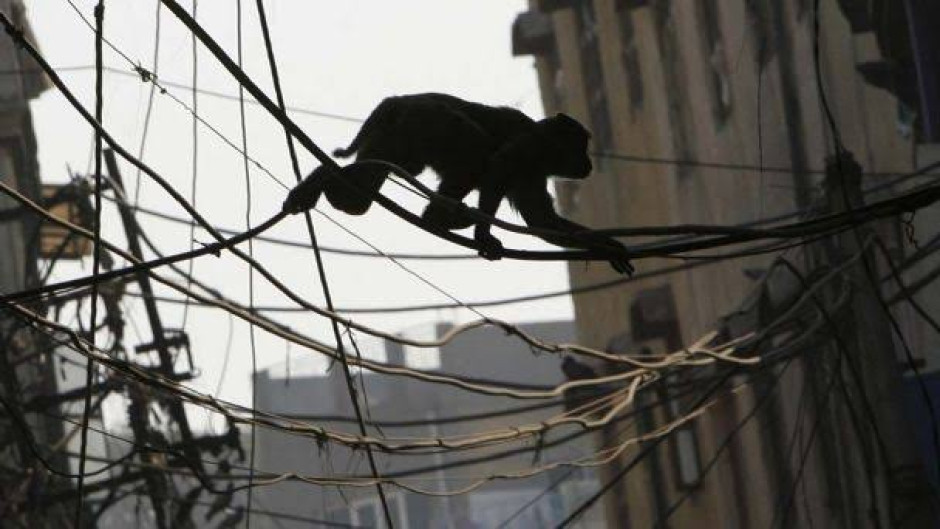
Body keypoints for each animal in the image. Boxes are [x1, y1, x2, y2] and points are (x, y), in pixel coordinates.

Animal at [283, 93, 633, 275]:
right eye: (582, 146)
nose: (589, 162)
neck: (544, 149)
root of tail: (400, 100)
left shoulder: (533, 172)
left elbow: (542, 221)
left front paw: (608, 247)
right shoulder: (527, 148)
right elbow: (497, 167)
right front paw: (483, 236)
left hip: (395, 136)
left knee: (363, 190)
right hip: (429, 120)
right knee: (473, 154)